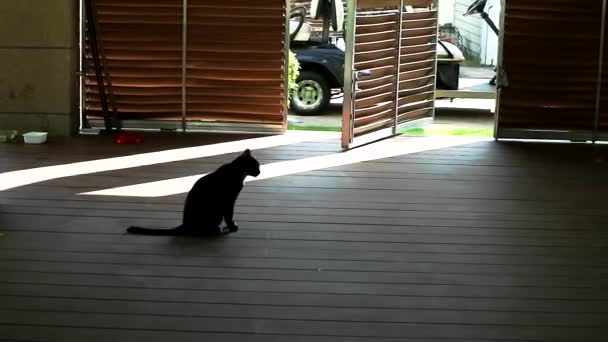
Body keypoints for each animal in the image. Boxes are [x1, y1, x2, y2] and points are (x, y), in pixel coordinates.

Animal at [127, 148, 260, 236]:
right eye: (257, 166)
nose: (260, 172)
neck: (238, 172)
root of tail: (185, 224)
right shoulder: (229, 201)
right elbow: (229, 215)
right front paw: (232, 226)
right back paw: (215, 229)